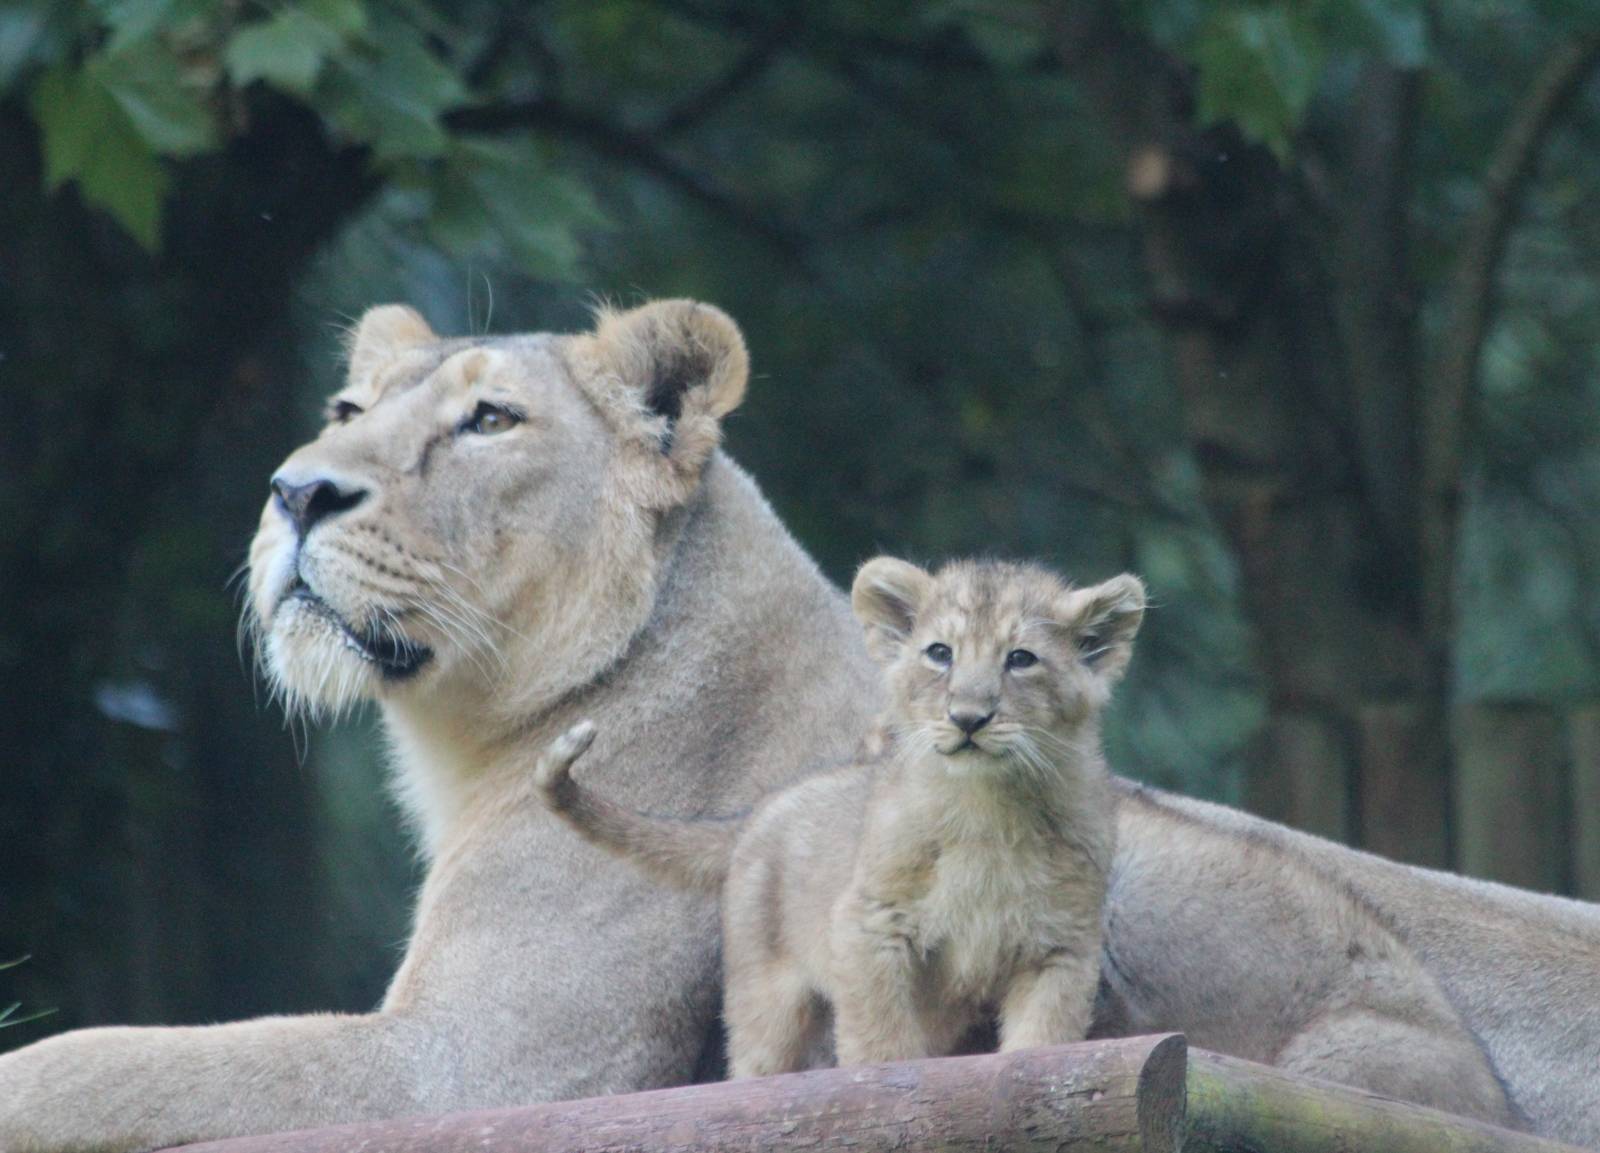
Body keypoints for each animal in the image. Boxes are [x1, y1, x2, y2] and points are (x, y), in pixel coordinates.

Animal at [533, 559, 1139, 1076]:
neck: (987, 808)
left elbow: (1043, 1041)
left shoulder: (1062, 948)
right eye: (939, 653)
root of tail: (761, 809)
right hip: (764, 993)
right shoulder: (869, 922)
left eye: (1021, 658)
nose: (968, 718)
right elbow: (881, 1036)